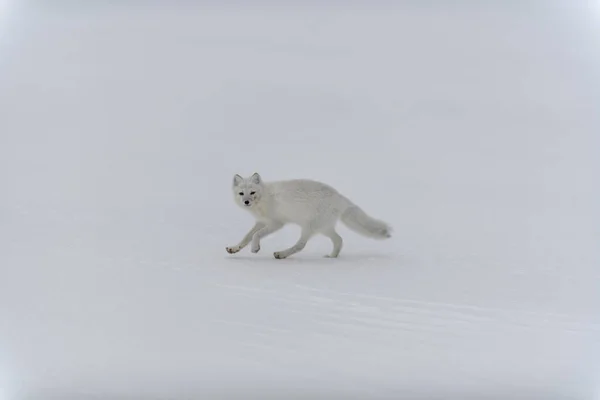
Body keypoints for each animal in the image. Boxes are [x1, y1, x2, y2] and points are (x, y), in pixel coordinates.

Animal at [224, 172, 390, 260]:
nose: (246, 202)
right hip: (324, 228)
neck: (264, 198)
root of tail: (339, 196)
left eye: (252, 192)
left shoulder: (276, 223)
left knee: (300, 245)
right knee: (339, 240)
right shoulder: (261, 221)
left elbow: (256, 235)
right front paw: (234, 249)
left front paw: (255, 248)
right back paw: (332, 257)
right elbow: (246, 237)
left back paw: (281, 254)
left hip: (310, 227)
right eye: (241, 193)